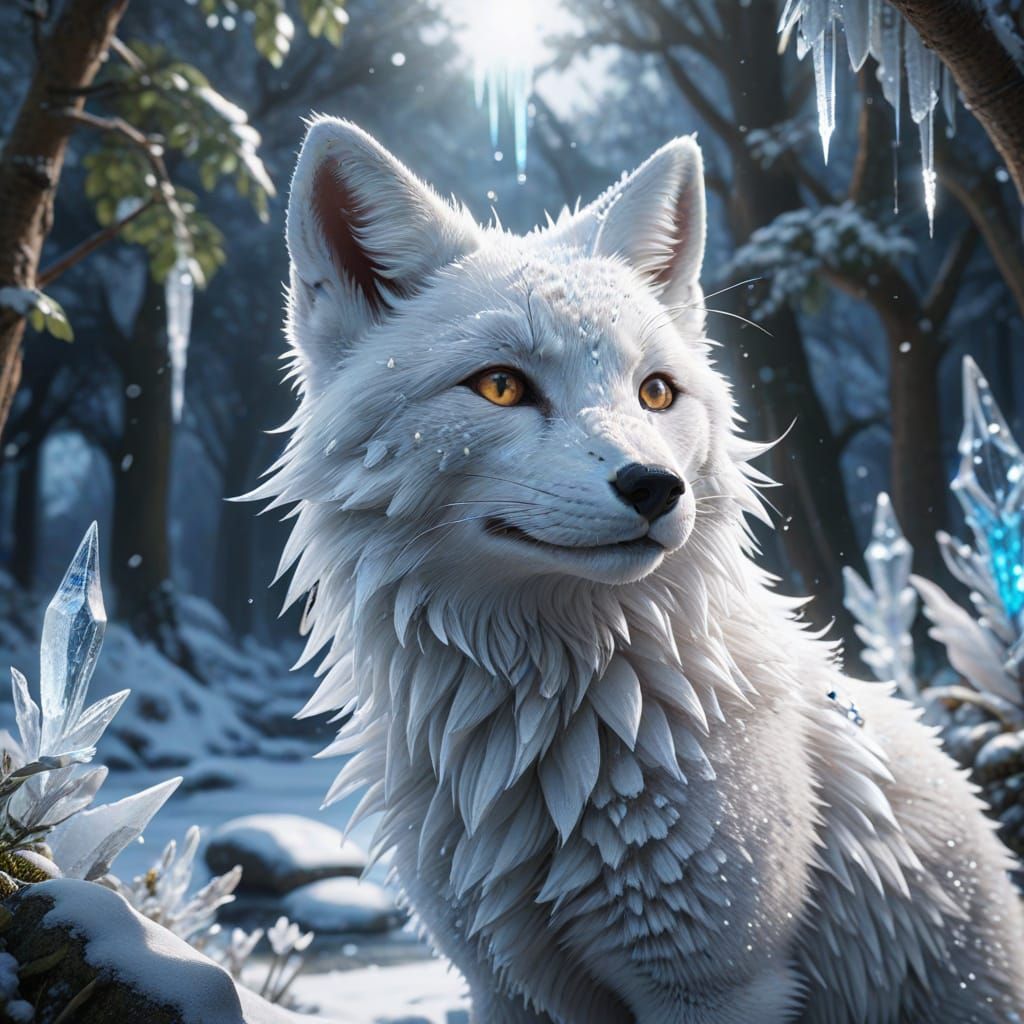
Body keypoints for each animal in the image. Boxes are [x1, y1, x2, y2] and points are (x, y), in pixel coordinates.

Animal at [254, 117, 1024, 1022]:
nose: (657, 487)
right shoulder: (503, 986)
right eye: (501, 386)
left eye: (656, 393)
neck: (548, 726)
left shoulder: (718, 988)